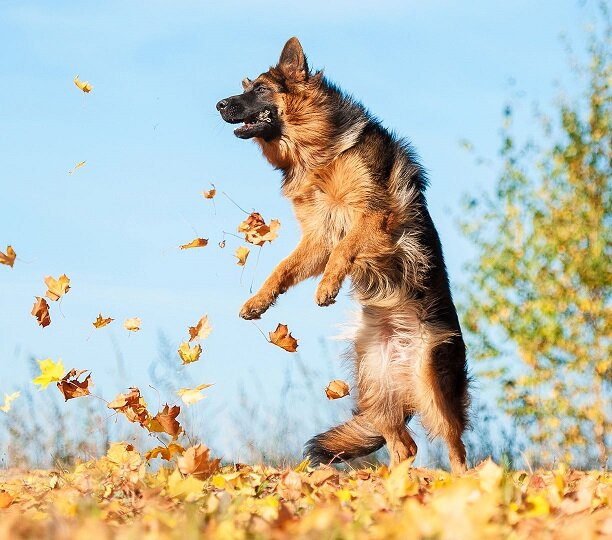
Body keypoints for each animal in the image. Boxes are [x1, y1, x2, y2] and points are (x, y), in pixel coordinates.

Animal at [218, 37, 470, 472]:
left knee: (455, 445)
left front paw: (327, 287)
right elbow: (283, 268)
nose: (219, 104)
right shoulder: (318, 236)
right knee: (405, 447)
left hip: (433, 388)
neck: (318, 153)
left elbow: (347, 248)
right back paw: (394, 482)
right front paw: (258, 302)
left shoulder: (375, 215)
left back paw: (466, 480)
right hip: (375, 393)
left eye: (261, 89)